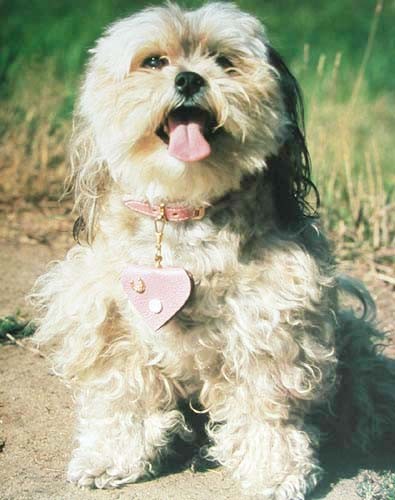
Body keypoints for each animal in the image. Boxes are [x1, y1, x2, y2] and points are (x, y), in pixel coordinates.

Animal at [31, 1, 395, 498]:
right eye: (153, 61)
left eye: (223, 60)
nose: (188, 79)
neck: (185, 210)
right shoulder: (112, 326)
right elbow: (123, 400)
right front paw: (110, 457)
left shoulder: (269, 329)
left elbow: (266, 410)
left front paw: (274, 470)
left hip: (349, 343)